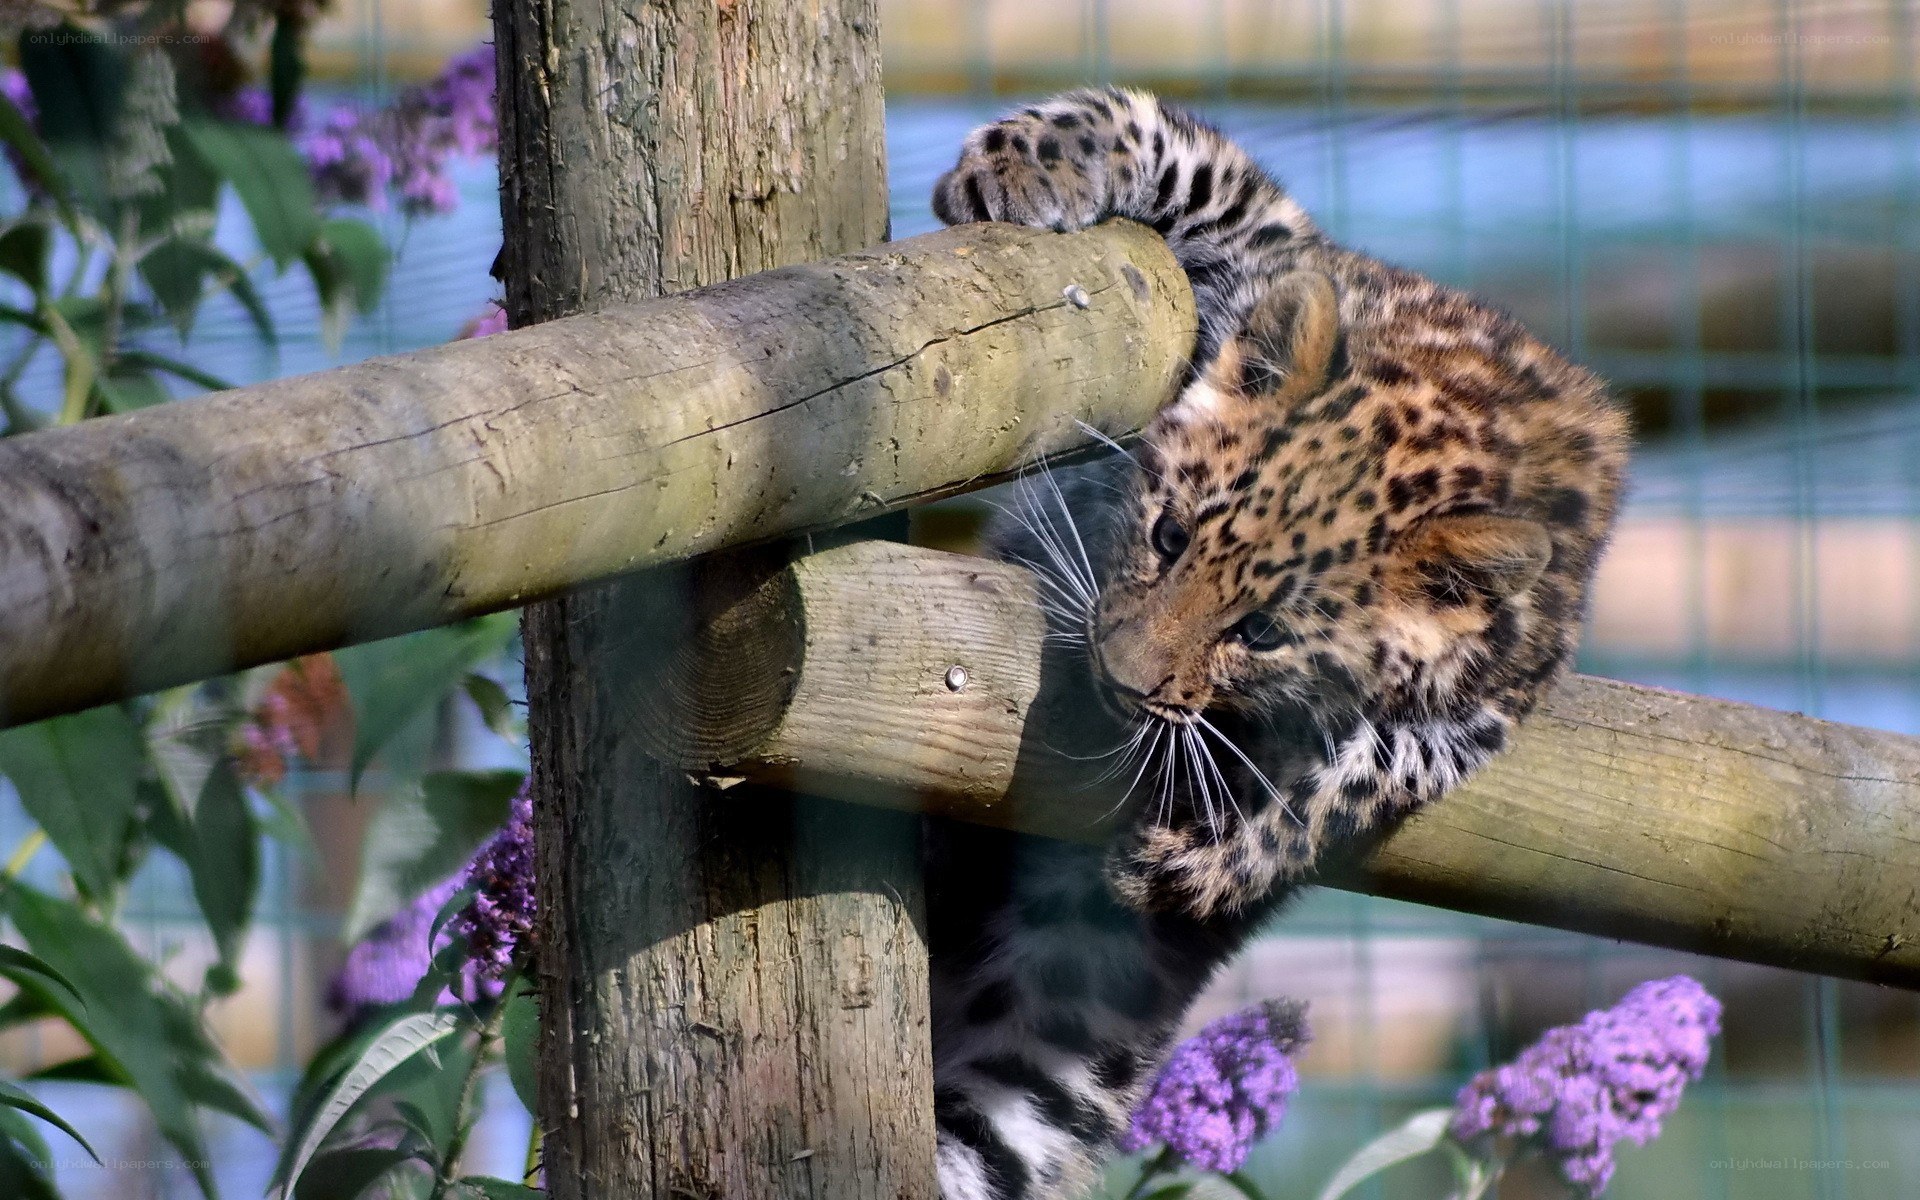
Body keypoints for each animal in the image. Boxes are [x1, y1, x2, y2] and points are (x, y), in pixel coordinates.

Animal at [919, 87, 1628, 1200]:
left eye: (1260, 633)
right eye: (1169, 536)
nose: (1119, 680)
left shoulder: (1493, 699)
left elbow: (1350, 780)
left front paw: (1214, 853)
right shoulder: (1270, 251)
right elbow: (1172, 143)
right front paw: (1019, 164)